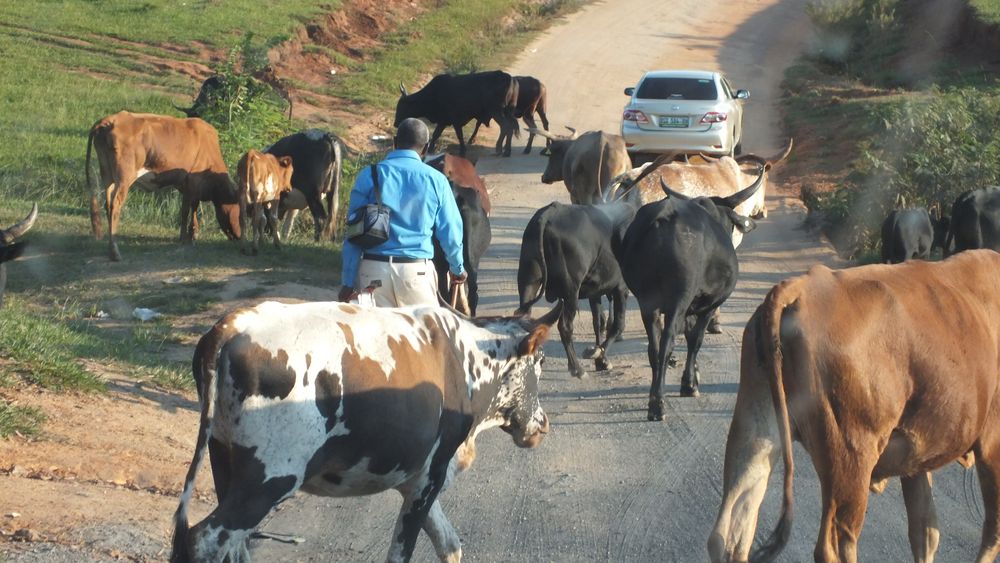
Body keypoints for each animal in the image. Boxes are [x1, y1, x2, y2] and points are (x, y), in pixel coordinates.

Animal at [85, 112, 241, 262]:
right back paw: (115, 253)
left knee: (107, 204)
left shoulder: (186, 185)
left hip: (107, 175)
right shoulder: (193, 181)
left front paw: (187, 235)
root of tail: (110, 120)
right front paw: (189, 236)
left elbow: (188, 209)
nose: (239, 237)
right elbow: (189, 209)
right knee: (115, 206)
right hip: (124, 178)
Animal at [173, 302, 564, 563]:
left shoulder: (415, 478)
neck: (466, 360)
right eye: (542, 360)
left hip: (225, 464)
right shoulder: (431, 475)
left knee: (232, 547)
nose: (543, 423)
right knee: (204, 539)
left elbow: (449, 544)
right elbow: (403, 552)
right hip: (268, 481)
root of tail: (230, 326)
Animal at [612, 174, 760, 420]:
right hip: (677, 300)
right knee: (667, 343)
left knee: (654, 347)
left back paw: (655, 397)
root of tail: (664, 215)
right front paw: (689, 384)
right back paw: (658, 404)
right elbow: (695, 340)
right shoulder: (708, 306)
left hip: (648, 302)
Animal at [708, 250, 1000, 563]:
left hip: (756, 430)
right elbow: (991, 532)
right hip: (850, 457)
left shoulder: (916, 458)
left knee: (729, 531)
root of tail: (803, 286)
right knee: (834, 545)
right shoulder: (992, 445)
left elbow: (925, 532)